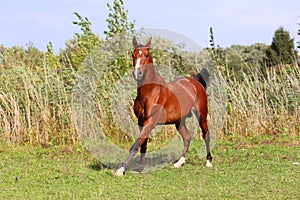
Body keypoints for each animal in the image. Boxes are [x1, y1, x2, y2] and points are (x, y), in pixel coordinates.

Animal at [115, 36, 211, 176]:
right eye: (133, 55)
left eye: (146, 54)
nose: (137, 73)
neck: (150, 91)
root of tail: (195, 82)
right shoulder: (141, 121)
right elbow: (143, 144)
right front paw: (139, 168)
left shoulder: (150, 121)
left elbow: (136, 145)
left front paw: (121, 170)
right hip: (179, 121)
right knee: (187, 137)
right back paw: (179, 163)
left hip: (201, 115)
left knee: (206, 135)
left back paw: (208, 162)